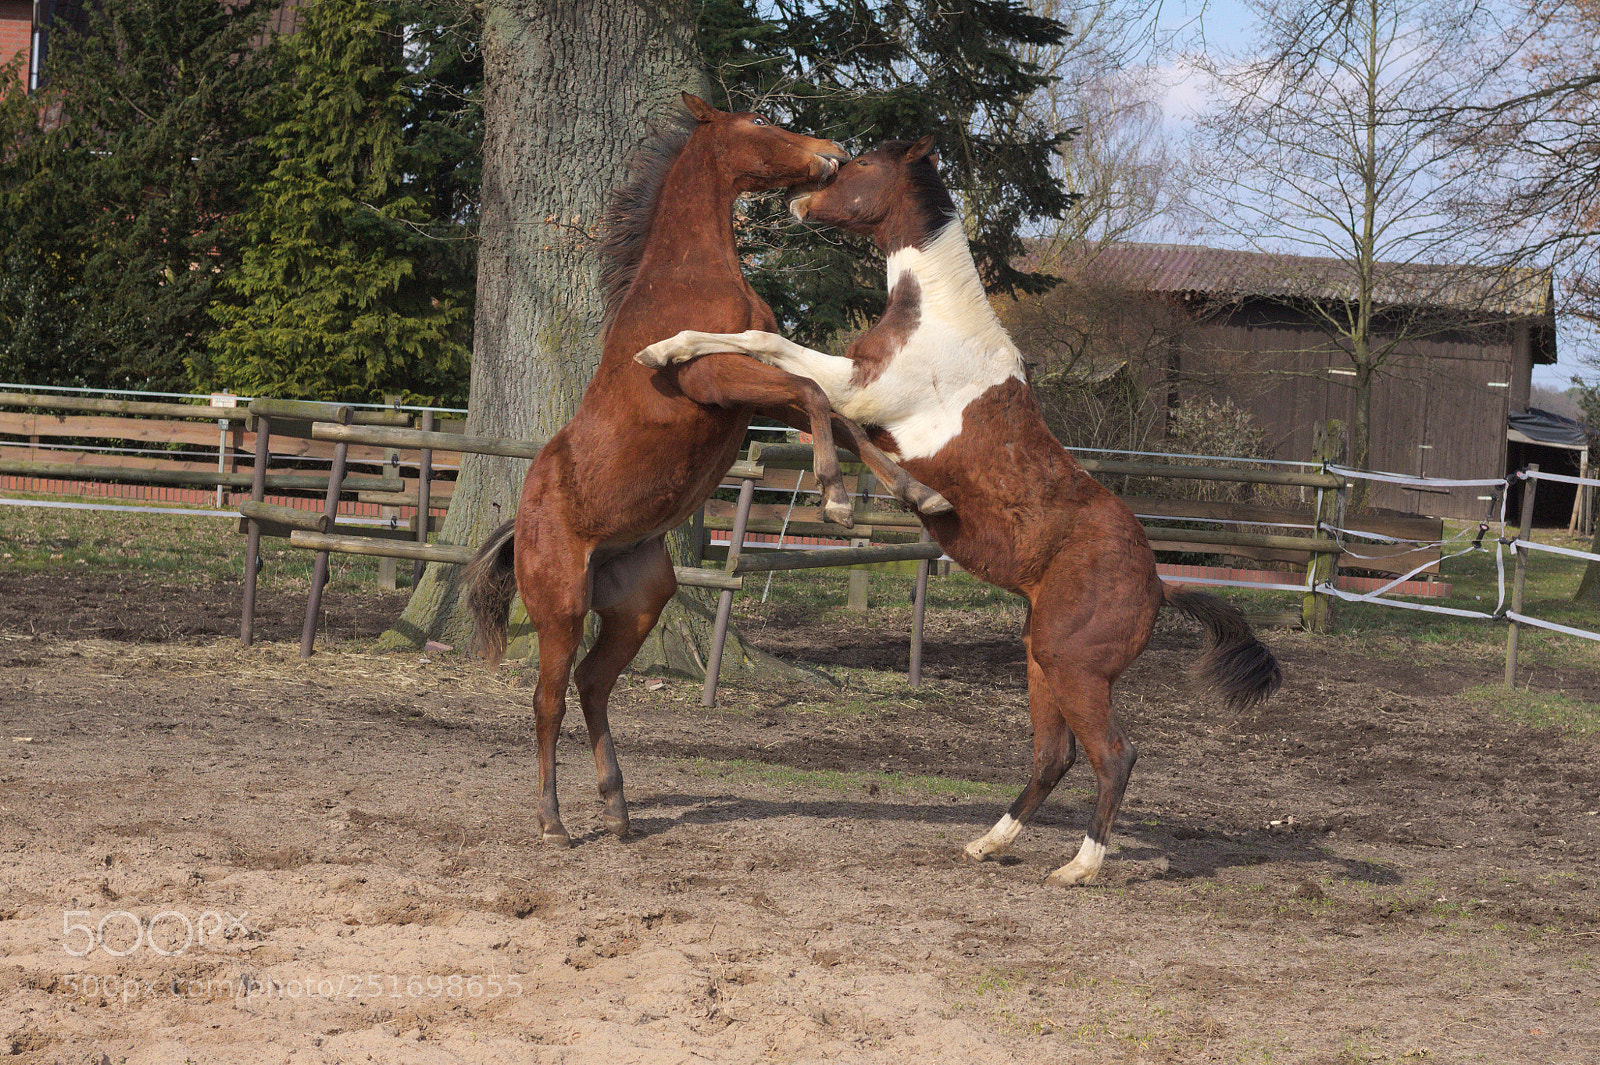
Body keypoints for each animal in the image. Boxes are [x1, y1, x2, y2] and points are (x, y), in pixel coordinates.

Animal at [467, 97, 951, 847]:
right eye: (758, 124)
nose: (831, 153)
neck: (689, 276)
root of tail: (522, 524)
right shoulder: (713, 377)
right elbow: (815, 400)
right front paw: (836, 498)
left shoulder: (754, 377)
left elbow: (834, 414)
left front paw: (914, 490)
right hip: (561, 607)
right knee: (547, 699)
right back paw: (553, 820)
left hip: (640, 600)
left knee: (592, 683)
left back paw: (617, 809)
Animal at [635, 136, 1282, 885]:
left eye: (861, 166)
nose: (797, 197)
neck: (938, 324)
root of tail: (1159, 585)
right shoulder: (862, 406)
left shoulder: (857, 390)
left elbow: (769, 347)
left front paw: (661, 348)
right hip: (1040, 663)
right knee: (1054, 756)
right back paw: (989, 843)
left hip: (1073, 669)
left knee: (1114, 756)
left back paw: (1079, 868)